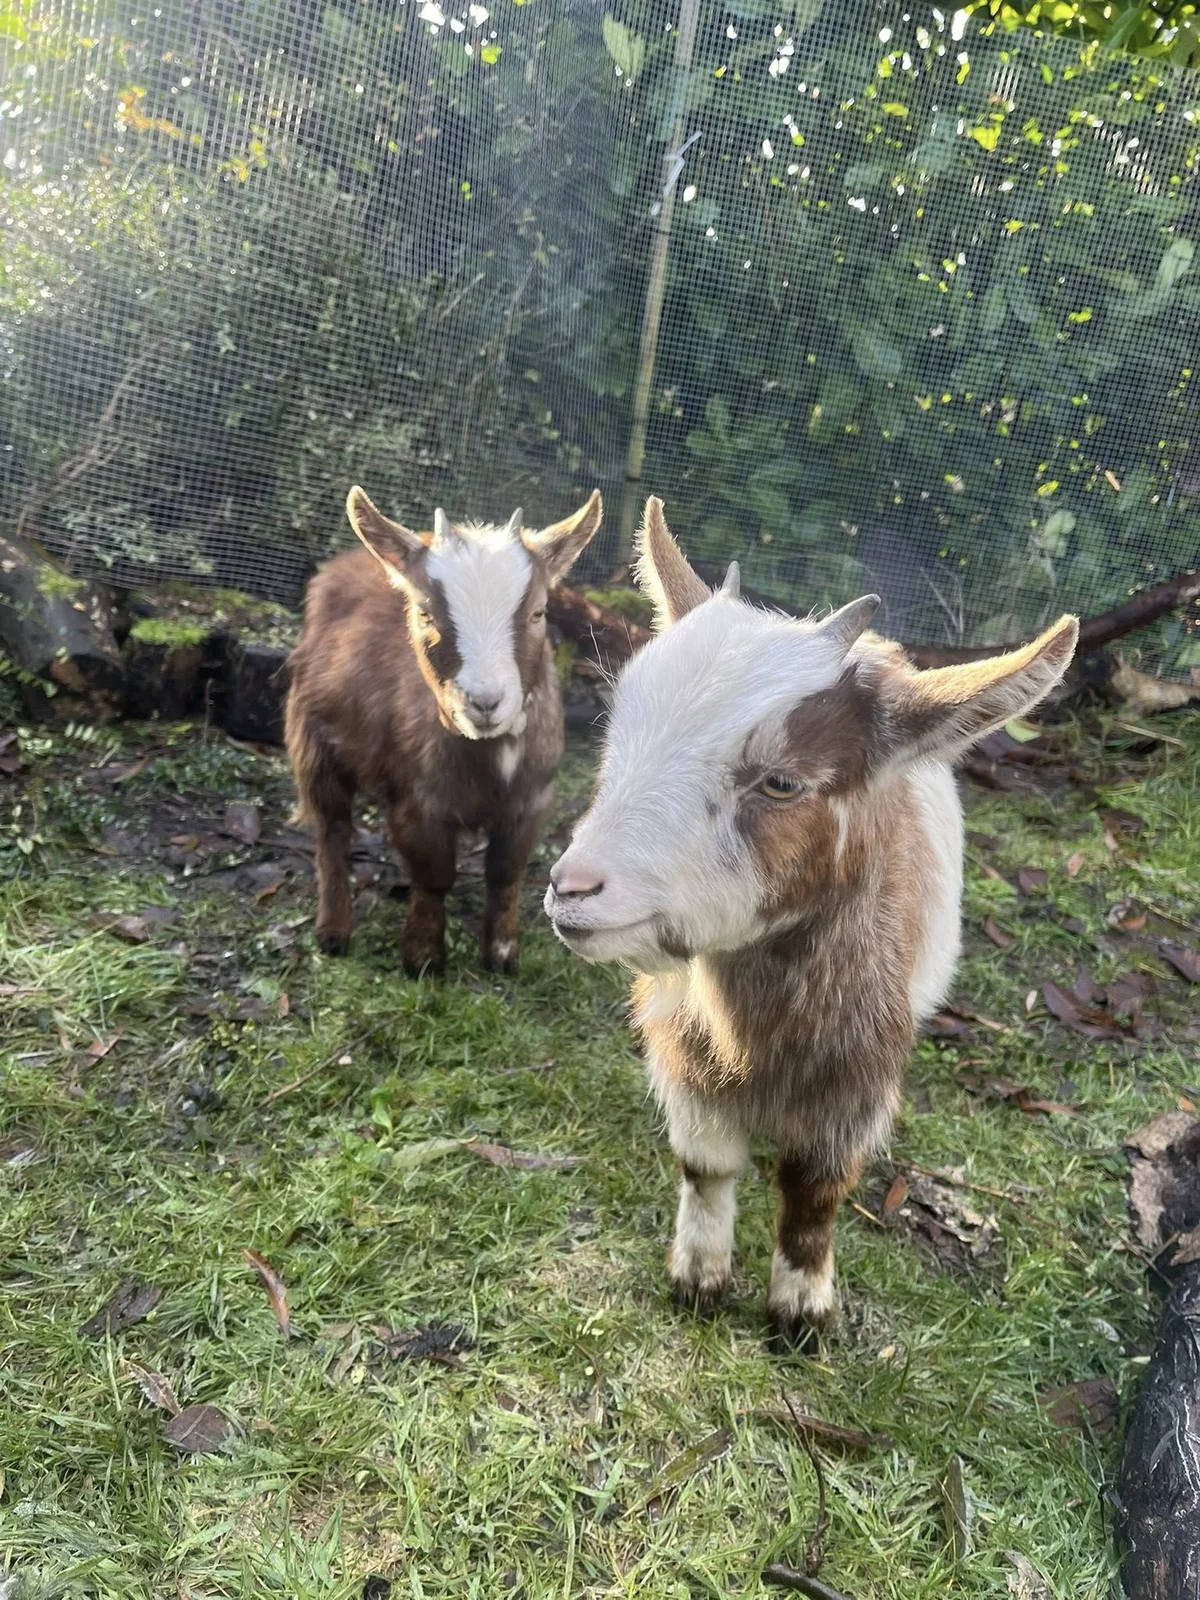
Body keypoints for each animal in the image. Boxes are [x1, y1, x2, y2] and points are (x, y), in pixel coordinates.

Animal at [286, 485, 602, 975]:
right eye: (425, 614)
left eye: (538, 613)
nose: (486, 702)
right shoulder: (418, 800)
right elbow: (434, 877)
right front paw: (423, 959)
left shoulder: (532, 798)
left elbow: (505, 871)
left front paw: (501, 956)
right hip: (312, 739)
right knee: (332, 832)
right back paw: (333, 932)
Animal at [544, 498, 1077, 1344]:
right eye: (615, 734)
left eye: (782, 782)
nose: (573, 887)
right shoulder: (682, 1041)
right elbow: (706, 1165)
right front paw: (699, 1280)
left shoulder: (860, 1075)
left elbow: (815, 1188)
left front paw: (800, 1314)